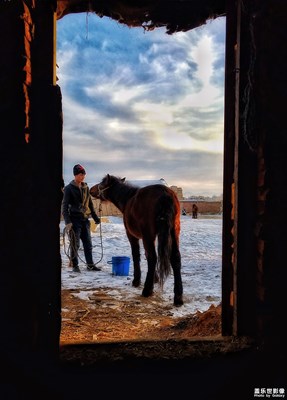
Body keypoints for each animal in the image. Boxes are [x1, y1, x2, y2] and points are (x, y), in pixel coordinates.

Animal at [90, 174, 184, 306]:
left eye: (102, 183)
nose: (91, 190)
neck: (128, 199)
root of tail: (165, 193)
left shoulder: (132, 235)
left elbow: (136, 255)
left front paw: (137, 280)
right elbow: (146, 254)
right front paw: (155, 278)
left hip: (148, 234)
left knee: (153, 257)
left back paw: (147, 290)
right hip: (174, 232)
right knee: (175, 258)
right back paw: (178, 297)